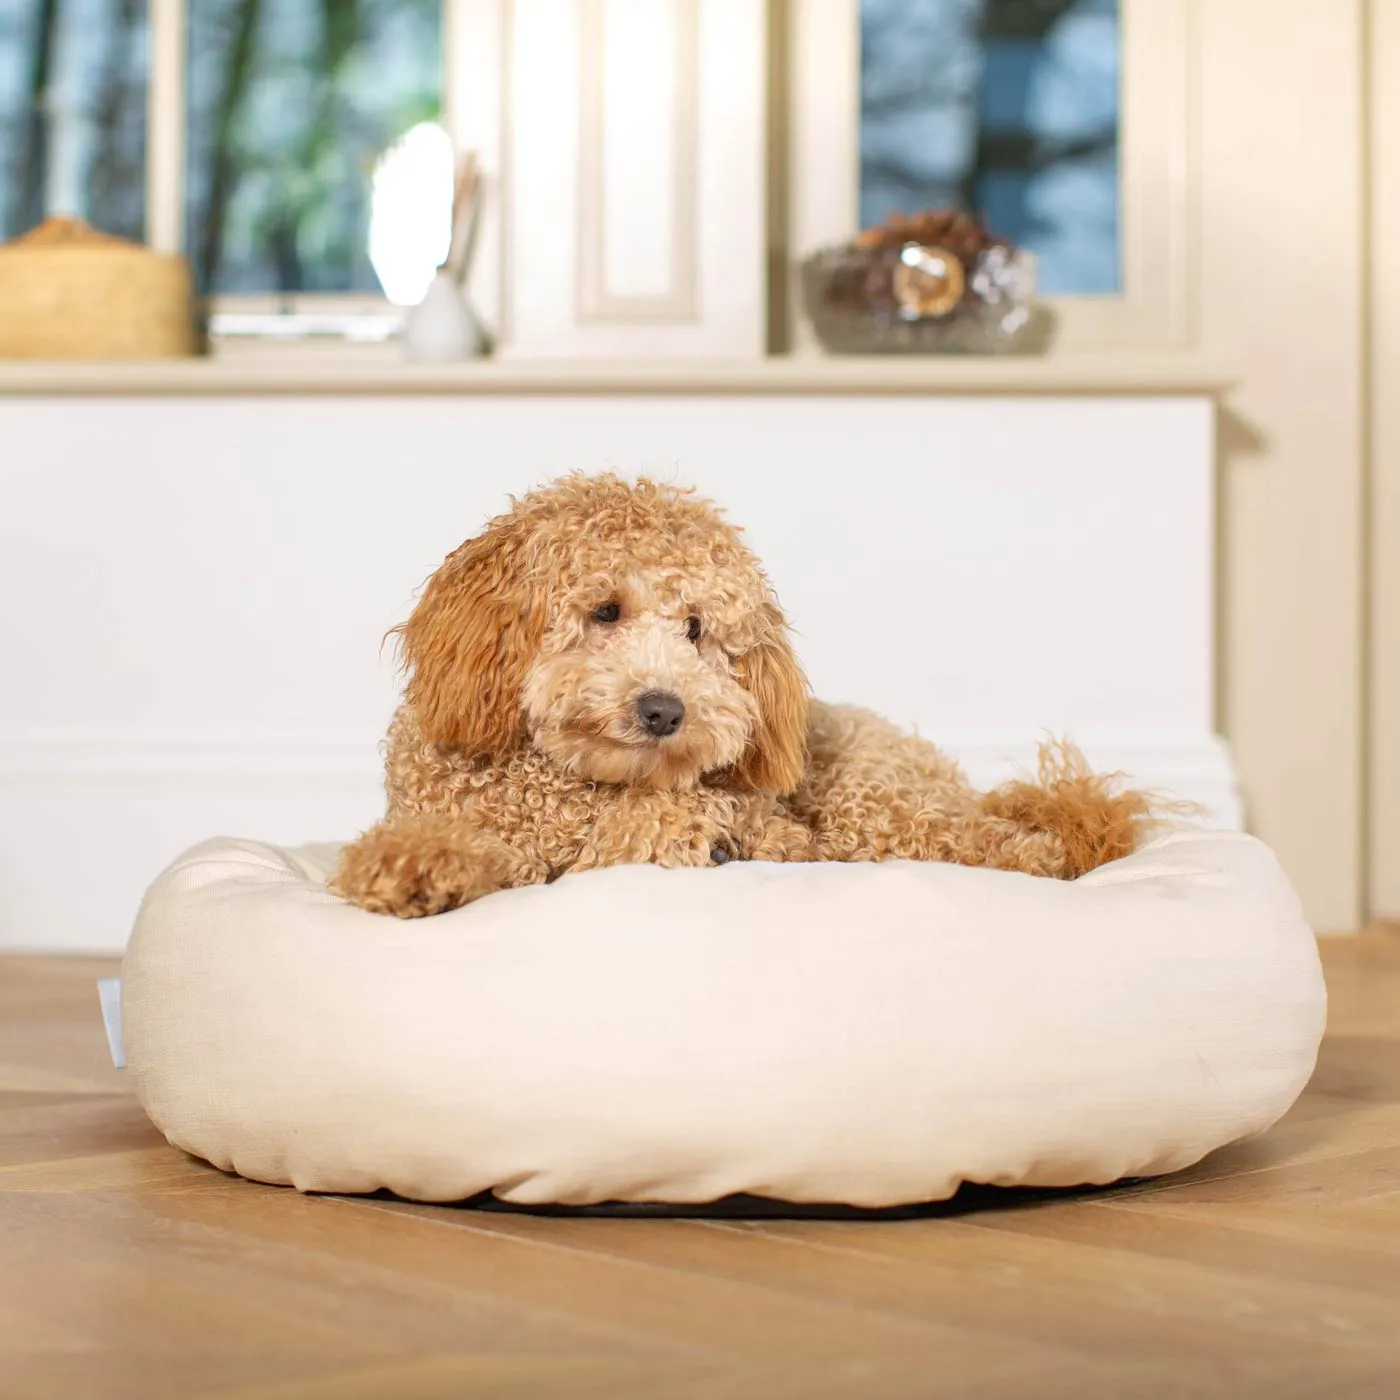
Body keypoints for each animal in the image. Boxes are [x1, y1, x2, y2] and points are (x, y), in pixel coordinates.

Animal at [333, 473, 1153, 918]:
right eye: (605, 611)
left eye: (697, 629)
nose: (665, 709)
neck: (568, 787)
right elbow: (471, 848)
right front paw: (411, 869)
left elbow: (656, 829)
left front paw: (698, 834)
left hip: (872, 806)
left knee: (1002, 844)